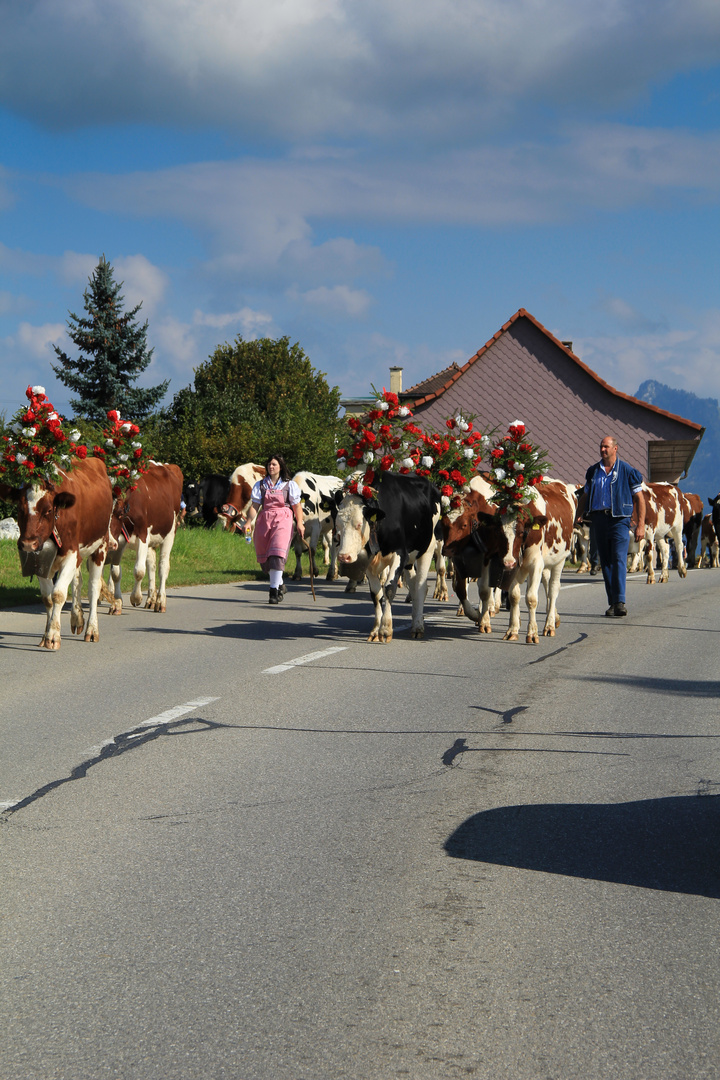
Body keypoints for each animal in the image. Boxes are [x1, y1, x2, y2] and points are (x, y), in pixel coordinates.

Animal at [0, 455, 113, 648]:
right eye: (20, 509)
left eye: (48, 510)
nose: (28, 544)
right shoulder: (41, 561)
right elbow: (47, 598)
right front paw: (45, 635)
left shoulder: (71, 554)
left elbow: (58, 594)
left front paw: (53, 636)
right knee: (77, 580)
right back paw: (77, 617)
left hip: (100, 546)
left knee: (93, 587)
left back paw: (91, 630)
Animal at [103, 462, 183, 617]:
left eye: (119, 513)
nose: (109, 543)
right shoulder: (120, 539)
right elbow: (115, 573)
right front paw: (117, 604)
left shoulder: (143, 535)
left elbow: (139, 571)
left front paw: (136, 597)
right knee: (151, 564)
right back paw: (151, 599)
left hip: (169, 534)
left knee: (163, 567)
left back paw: (160, 601)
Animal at [325, 473, 440, 639]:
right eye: (338, 524)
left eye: (359, 524)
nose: (344, 556)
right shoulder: (369, 561)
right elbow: (376, 594)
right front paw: (375, 630)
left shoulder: (400, 553)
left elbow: (389, 588)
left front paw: (385, 628)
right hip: (410, 560)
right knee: (413, 586)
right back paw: (415, 621)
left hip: (427, 549)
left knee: (420, 586)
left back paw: (418, 626)